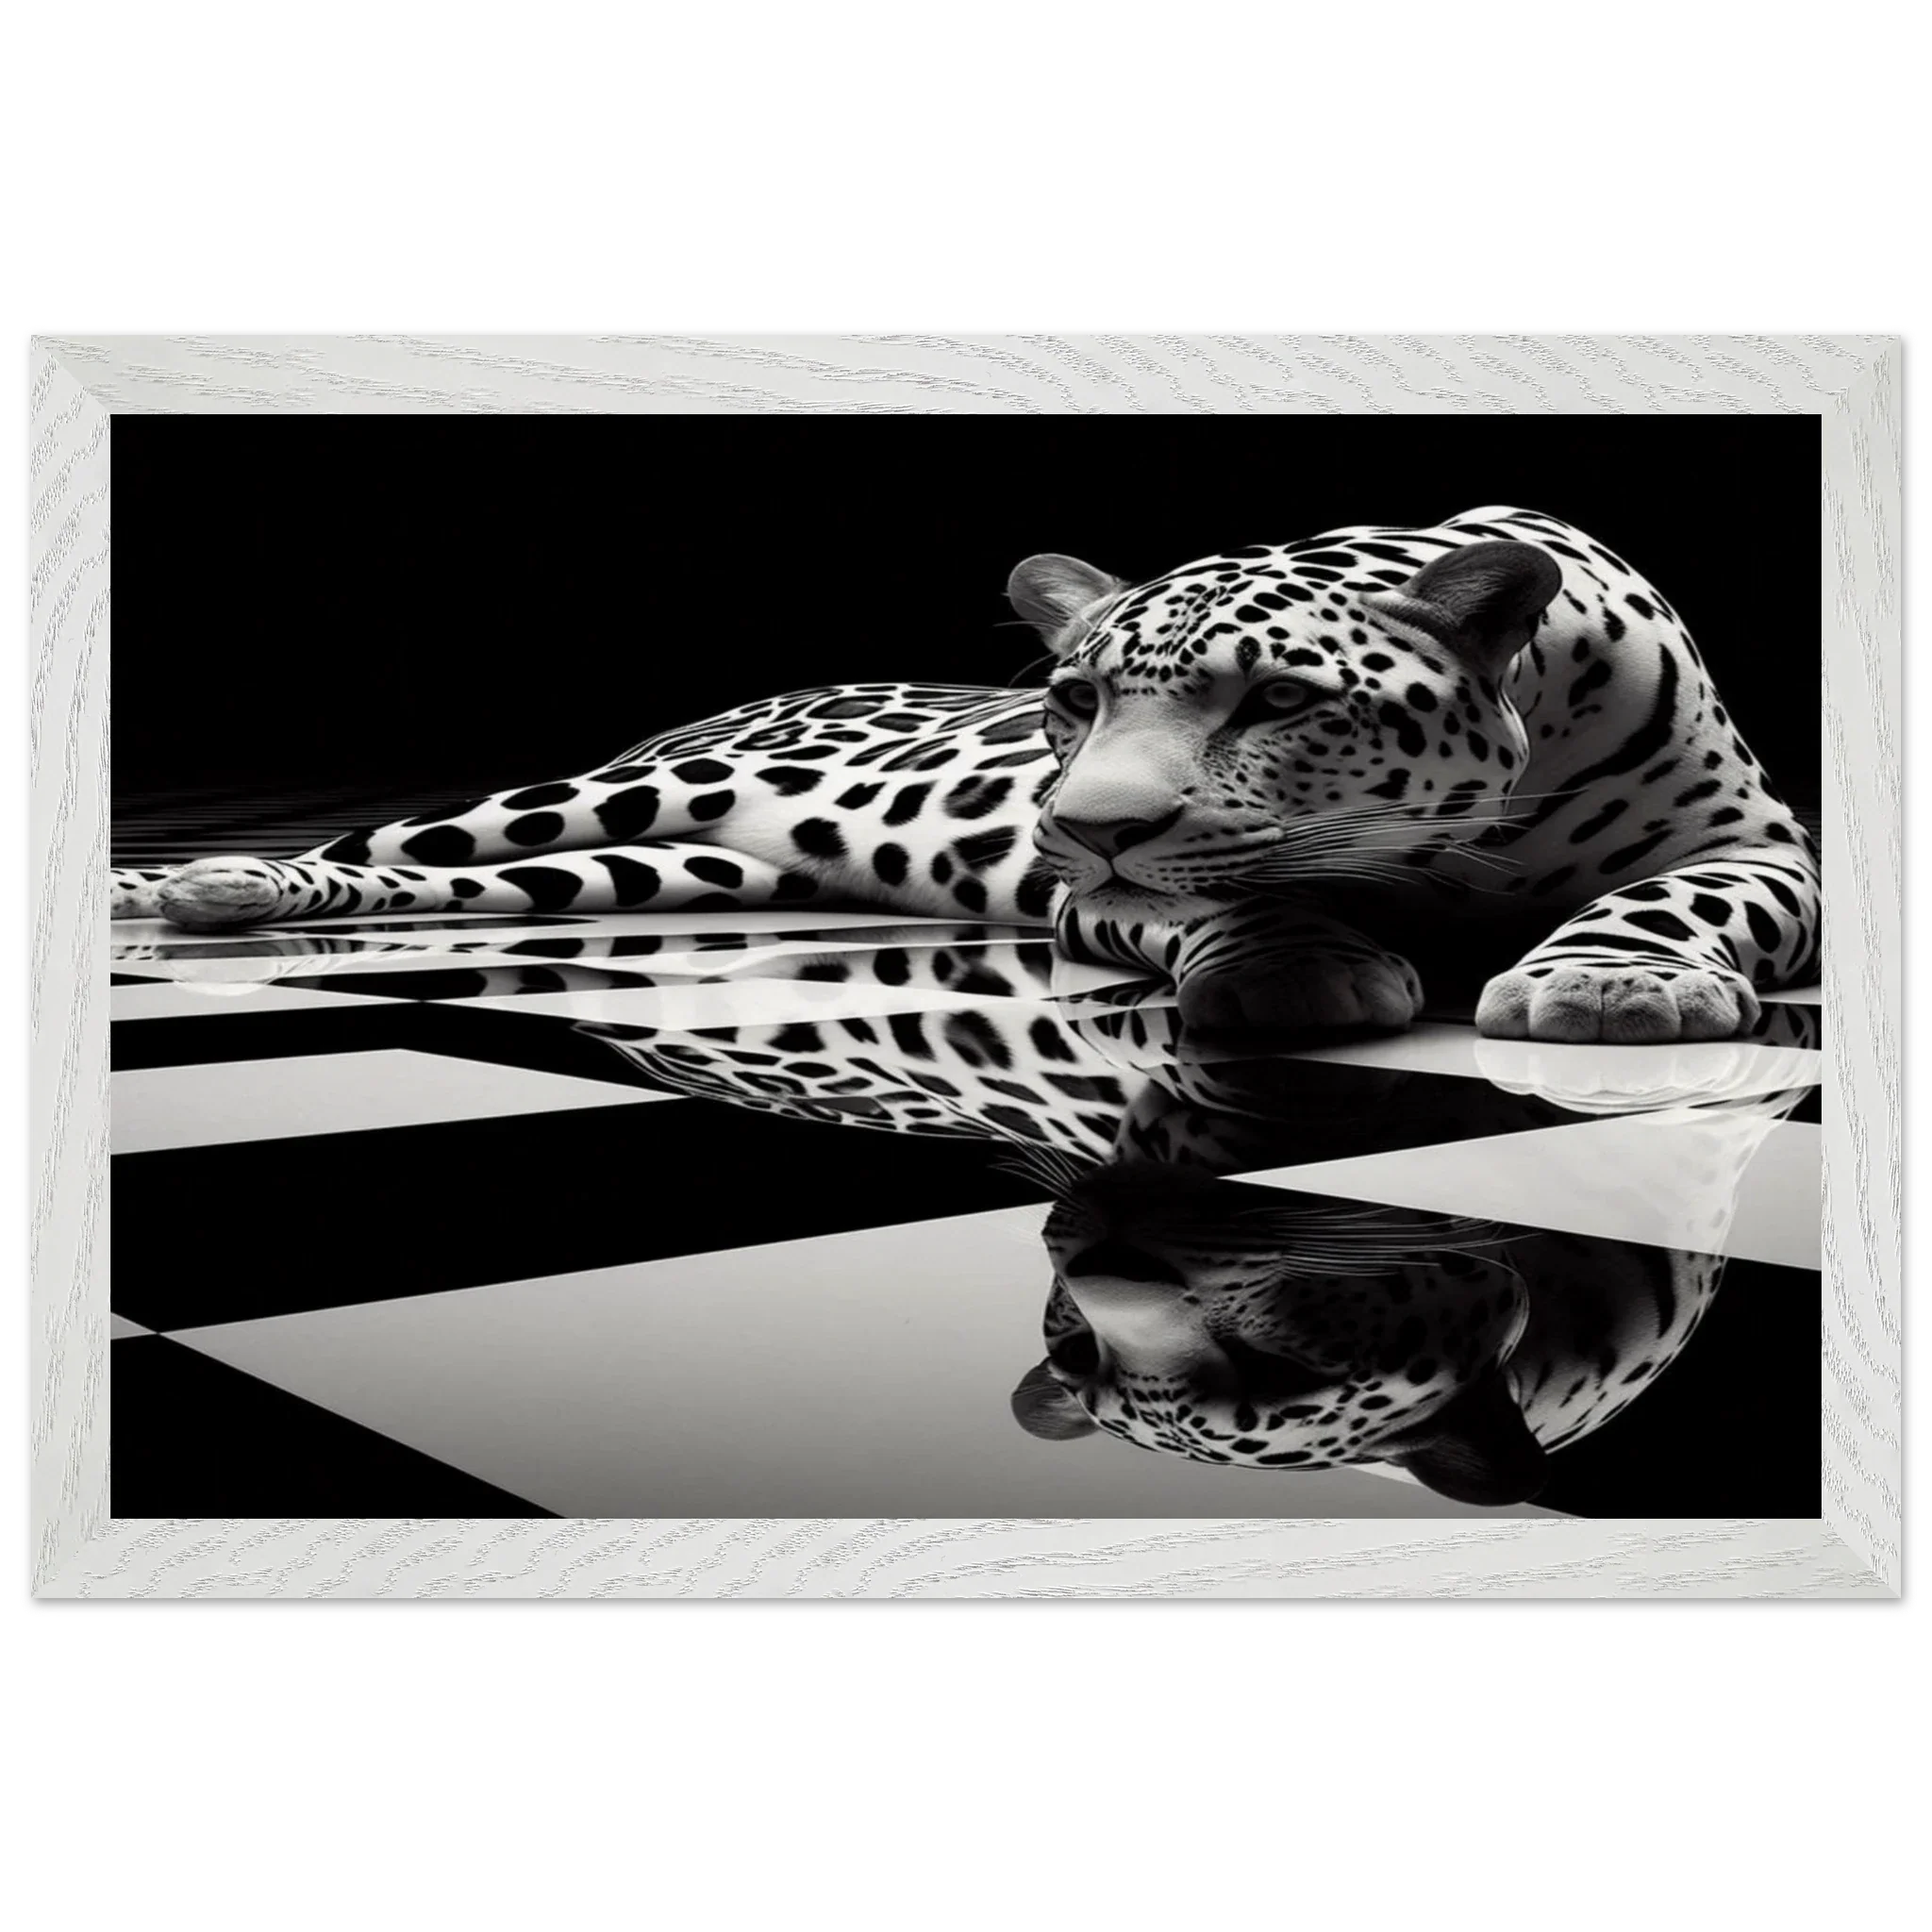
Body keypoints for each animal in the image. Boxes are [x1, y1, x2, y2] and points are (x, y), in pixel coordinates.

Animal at [110, 507, 1821, 1045]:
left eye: (1277, 698)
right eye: (1070, 700)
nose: (1082, 822)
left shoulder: (1760, 846)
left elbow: (1672, 900)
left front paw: (1606, 985)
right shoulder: (1092, 906)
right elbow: (1222, 901)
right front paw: (1297, 969)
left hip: (668, 867)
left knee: (459, 878)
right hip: (602, 802)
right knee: (388, 835)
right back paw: (194, 883)